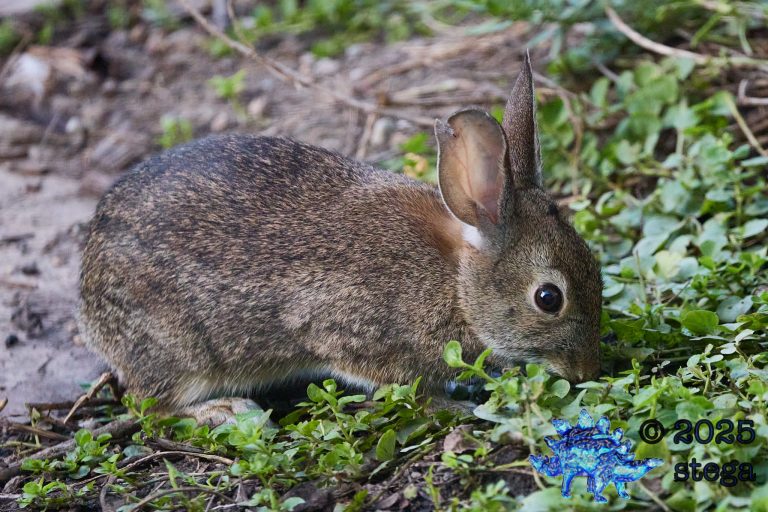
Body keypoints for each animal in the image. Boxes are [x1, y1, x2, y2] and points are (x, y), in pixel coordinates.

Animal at [79, 54, 602, 425]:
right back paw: (222, 410)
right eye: (548, 298)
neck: (456, 282)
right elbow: (396, 384)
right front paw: (448, 406)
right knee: (150, 405)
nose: (587, 371)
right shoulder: (346, 330)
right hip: (181, 351)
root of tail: (88, 278)